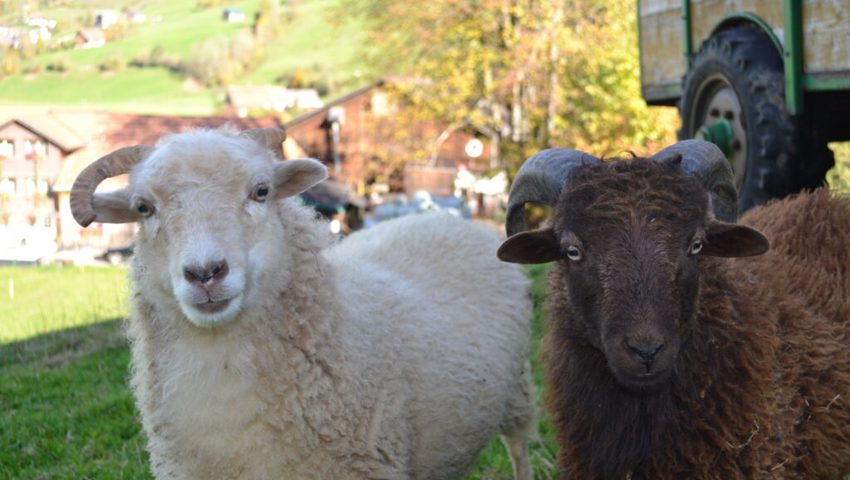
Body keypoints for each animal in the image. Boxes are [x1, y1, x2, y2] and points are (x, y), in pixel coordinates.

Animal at [69, 128, 532, 480]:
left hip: (517, 396)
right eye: (143, 207)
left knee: (519, 449)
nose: (205, 273)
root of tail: (442, 218)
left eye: (261, 191)